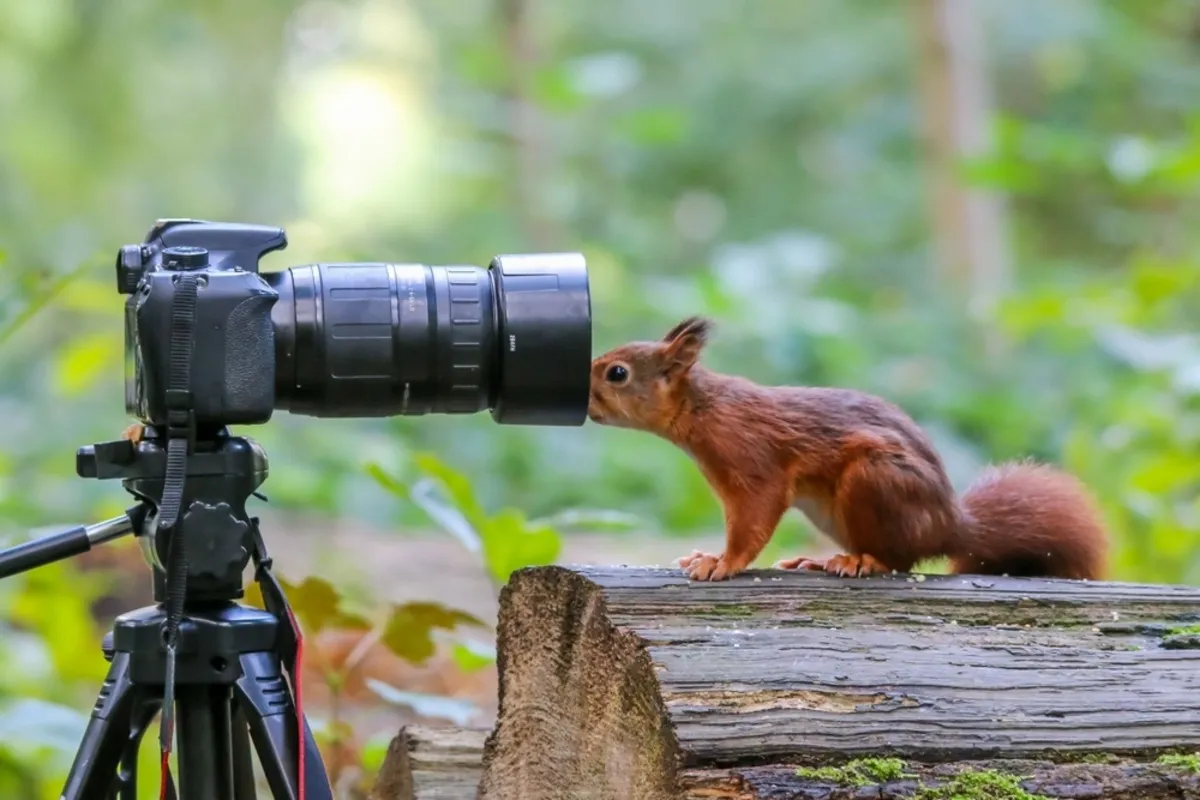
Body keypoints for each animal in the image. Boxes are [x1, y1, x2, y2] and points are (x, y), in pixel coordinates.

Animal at [587, 316, 1109, 582]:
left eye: (617, 373)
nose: (585, 396)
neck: (704, 410)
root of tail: (950, 525)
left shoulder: (754, 462)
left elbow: (753, 520)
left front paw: (721, 562)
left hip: (875, 481)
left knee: (901, 560)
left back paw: (864, 562)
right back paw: (823, 559)